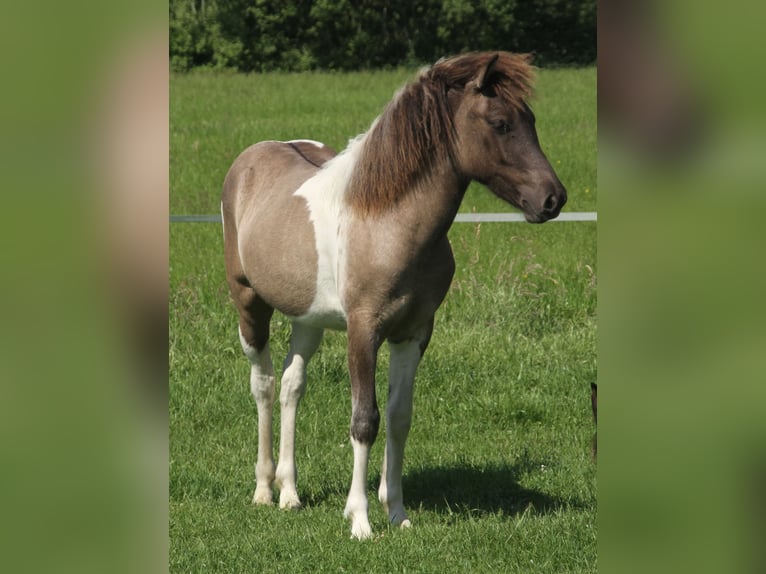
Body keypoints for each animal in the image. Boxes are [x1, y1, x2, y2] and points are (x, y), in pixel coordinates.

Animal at [221, 52, 567, 539]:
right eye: (500, 123)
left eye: (531, 120)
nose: (553, 199)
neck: (387, 221)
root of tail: (251, 157)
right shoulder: (363, 331)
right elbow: (365, 420)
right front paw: (360, 520)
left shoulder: (414, 333)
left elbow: (400, 417)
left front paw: (398, 513)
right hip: (250, 306)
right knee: (265, 385)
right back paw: (264, 490)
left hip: (307, 320)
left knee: (291, 385)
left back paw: (290, 494)